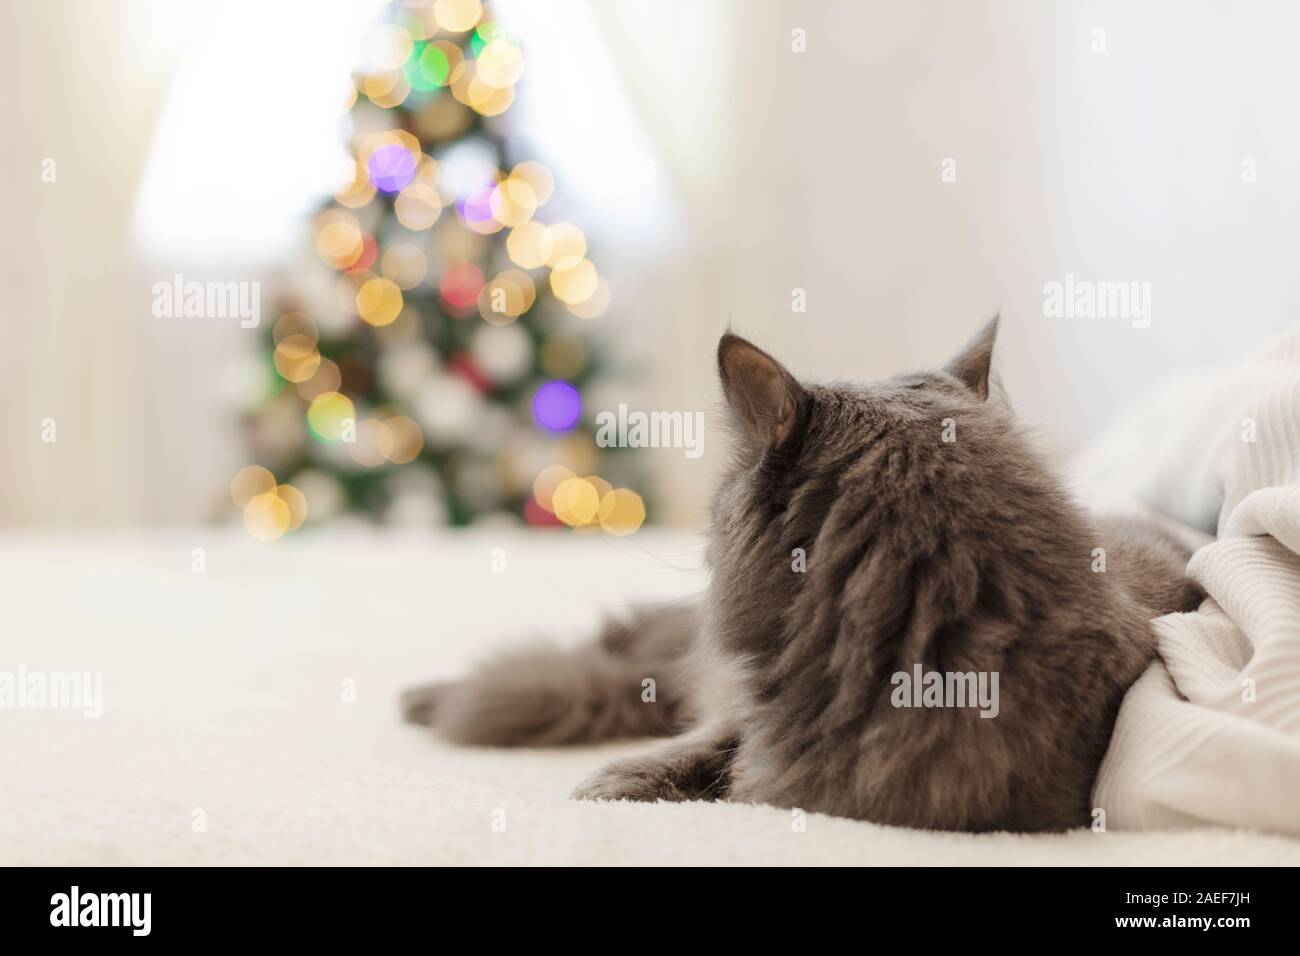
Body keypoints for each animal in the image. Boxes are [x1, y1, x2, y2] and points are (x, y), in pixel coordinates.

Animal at [400, 321, 1201, 832]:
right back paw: (424, 697)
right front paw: (613, 784)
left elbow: (728, 777)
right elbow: (700, 750)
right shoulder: (737, 725)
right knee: (615, 648)